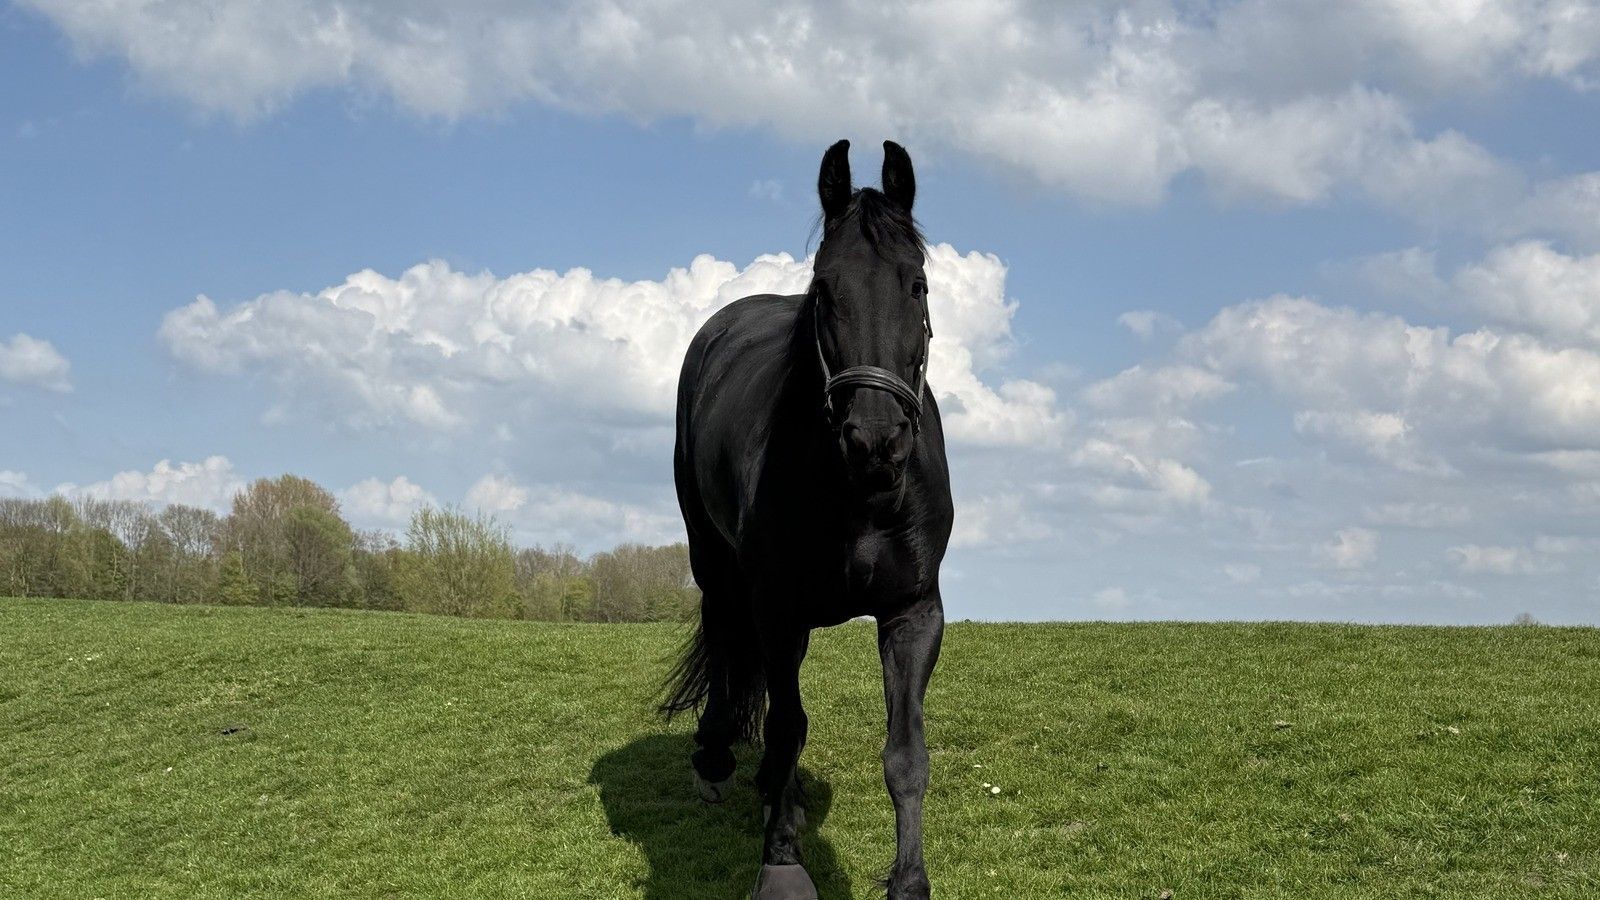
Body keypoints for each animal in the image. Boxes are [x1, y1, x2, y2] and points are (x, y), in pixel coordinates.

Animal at [663, 139, 954, 900]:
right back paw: (720, 763)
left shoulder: (914, 612)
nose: (875, 439)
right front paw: (783, 862)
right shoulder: (778, 608)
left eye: (918, 286)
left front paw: (909, 881)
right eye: (825, 290)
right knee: (726, 638)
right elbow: (788, 726)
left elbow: (906, 753)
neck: (860, 498)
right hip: (714, 562)